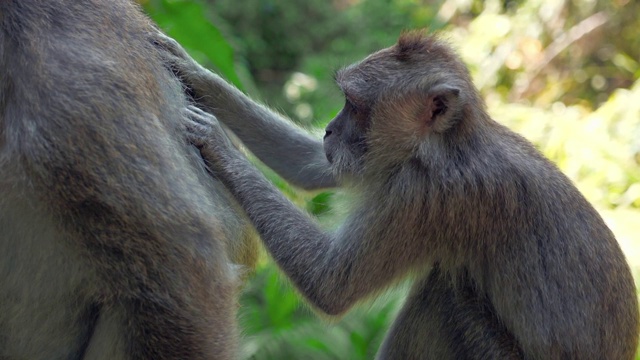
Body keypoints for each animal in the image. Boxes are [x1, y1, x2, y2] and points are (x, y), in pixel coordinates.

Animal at [159, 31, 640, 360]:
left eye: (354, 105)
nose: (331, 129)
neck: (443, 145)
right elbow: (311, 166)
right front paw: (195, 73)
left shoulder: (431, 198)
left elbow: (331, 284)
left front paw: (215, 141)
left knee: (445, 294)